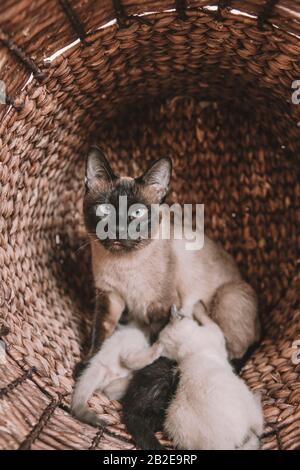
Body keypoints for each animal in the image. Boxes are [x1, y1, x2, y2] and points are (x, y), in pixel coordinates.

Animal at [123, 304, 264, 452]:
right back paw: (258, 395)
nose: (174, 308)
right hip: (246, 399)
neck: (186, 348)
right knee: (258, 429)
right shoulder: (215, 331)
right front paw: (198, 307)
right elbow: (206, 318)